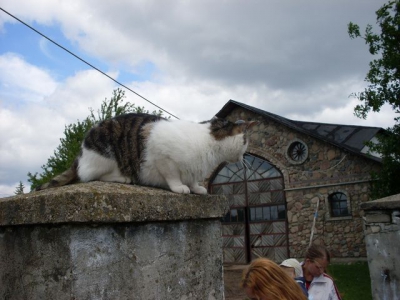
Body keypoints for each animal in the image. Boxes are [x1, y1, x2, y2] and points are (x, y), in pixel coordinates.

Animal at [37, 112, 256, 195]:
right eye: (245, 141)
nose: (245, 156)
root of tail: (81, 153)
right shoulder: (163, 157)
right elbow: (173, 175)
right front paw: (180, 187)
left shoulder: (193, 171)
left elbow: (193, 179)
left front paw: (196, 188)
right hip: (105, 157)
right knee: (91, 176)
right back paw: (124, 178)